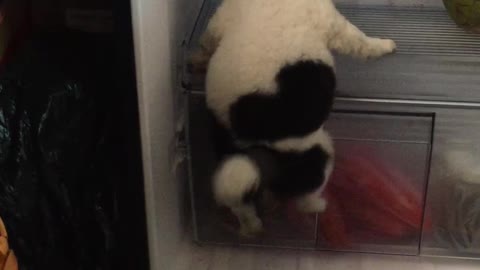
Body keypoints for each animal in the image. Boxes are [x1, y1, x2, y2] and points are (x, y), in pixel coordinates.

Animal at [192, 0, 398, 236]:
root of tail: (252, 137)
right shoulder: (334, 24)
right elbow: (361, 41)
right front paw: (384, 45)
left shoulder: (219, 20)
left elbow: (207, 40)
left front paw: (198, 59)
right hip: (319, 151)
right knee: (304, 198)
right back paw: (319, 205)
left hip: (233, 164)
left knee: (240, 202)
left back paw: (252, 228)